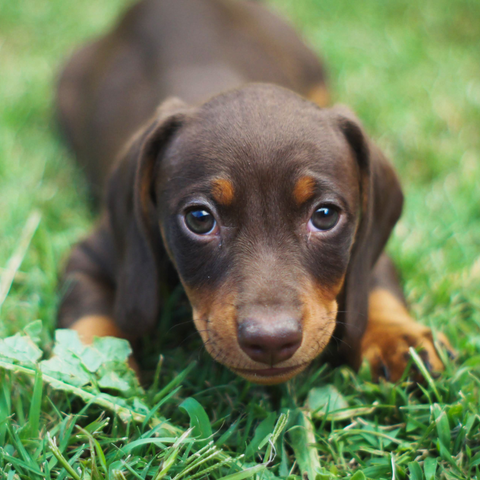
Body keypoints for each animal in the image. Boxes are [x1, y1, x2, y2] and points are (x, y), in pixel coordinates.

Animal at [56, 0, 450, 384]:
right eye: (199, 219)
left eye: (325, 216)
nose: (272, 340)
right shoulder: (92, 256)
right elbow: (88, 322)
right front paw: (86, 371)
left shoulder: (365, 242)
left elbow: (377, 285)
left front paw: (397, 339)